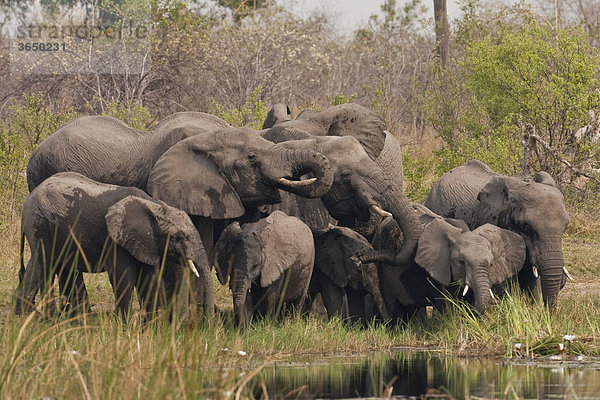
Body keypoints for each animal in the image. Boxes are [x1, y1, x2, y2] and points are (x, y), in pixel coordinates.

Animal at [13, 170, 216, 320]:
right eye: (179, 237)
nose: (208, 324)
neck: (154, 206)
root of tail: (30, 197)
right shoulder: (114, 238)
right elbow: (123, 277)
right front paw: (123, 328)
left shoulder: (146, 242)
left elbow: (148, 279)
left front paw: (148, 330)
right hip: (40, 223)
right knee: (44, 264)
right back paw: (38, 320)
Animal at [372, 205, 528, 320]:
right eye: (461, 262)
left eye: (491, 265)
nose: (497, 302)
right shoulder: (434, 269)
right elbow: (445, 301)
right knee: (394, 307)